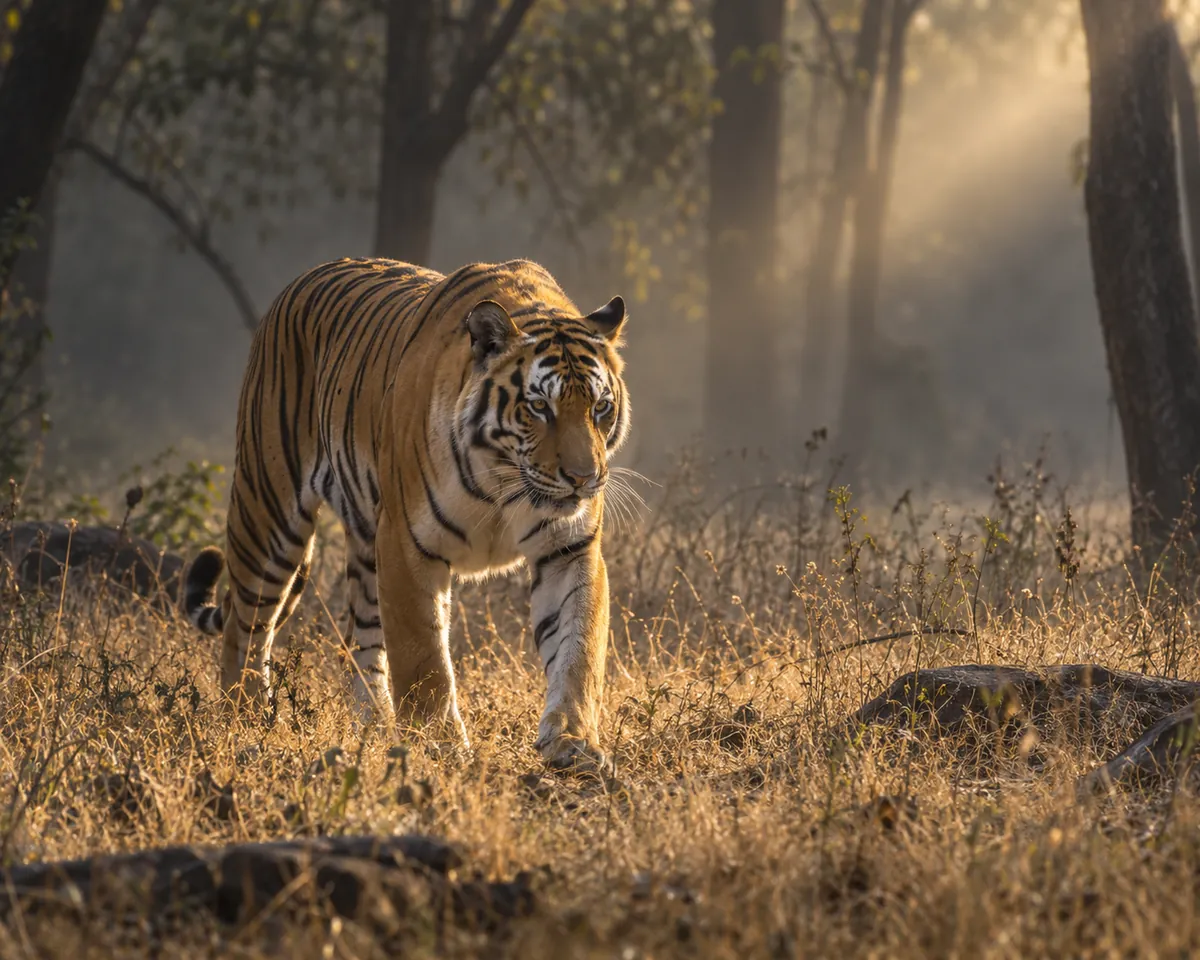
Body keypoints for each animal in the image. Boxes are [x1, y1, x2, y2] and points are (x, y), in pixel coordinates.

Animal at [183, 257, 630, 771]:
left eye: (601, 407)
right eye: (539, 407)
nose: (584, 478)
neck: (504, 484)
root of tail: (299, 282)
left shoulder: (569, 549)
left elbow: (579, 649)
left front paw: (574, 744)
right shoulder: (407, 544)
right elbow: (424, 658)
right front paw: (441, 746)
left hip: (364, 546)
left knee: (357, 642)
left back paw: (373, 729)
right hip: (268, 513)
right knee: (245, 627)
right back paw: (247, 719)